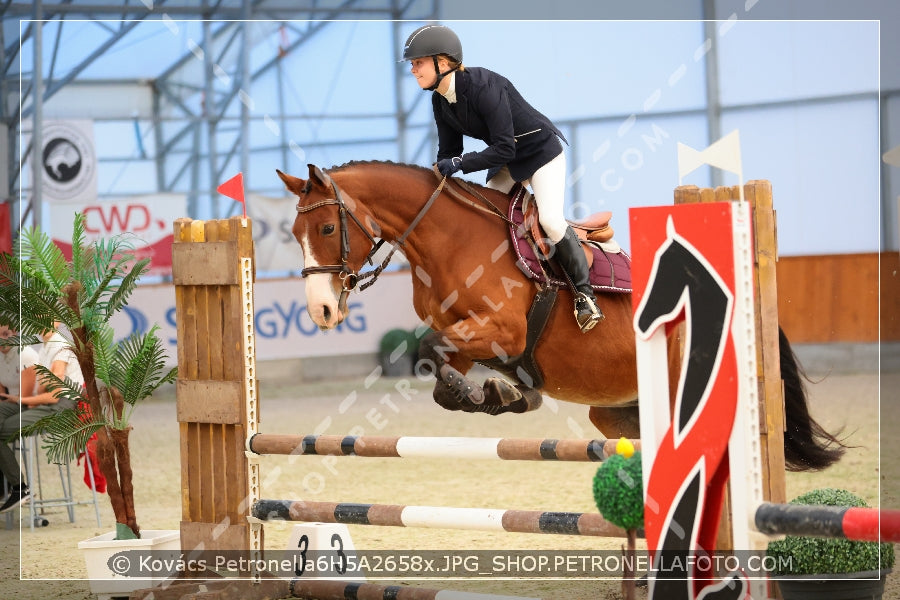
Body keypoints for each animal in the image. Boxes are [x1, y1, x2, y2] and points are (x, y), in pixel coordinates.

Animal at [276, 162, 844, 472]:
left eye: (327, 228)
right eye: (294, 233)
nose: (321, 310)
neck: (448, 240)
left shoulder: (502, 331)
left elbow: (430, 348)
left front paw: (489, 394)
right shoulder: (473, 339)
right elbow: (440, 363)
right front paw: (501, 394)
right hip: (620, 411)